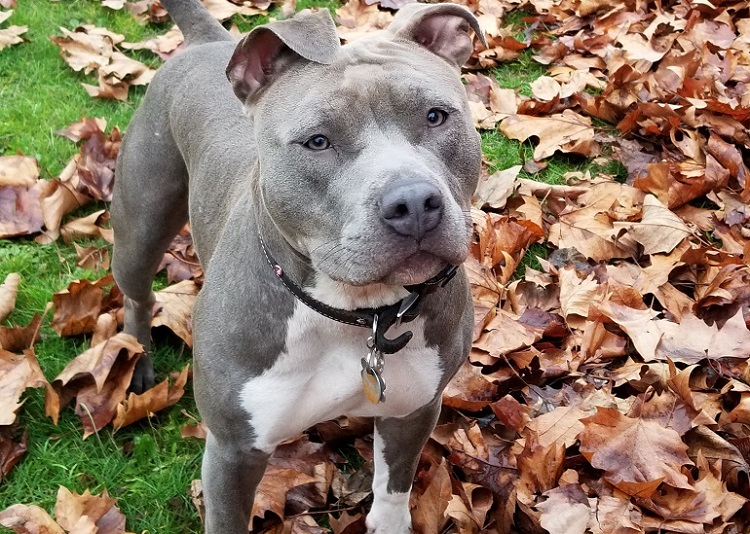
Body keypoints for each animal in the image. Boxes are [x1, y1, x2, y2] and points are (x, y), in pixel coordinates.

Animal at [112, 2, 488, 532]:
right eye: (317, 142)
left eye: (436, 116)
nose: (414, 202)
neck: (356, 311)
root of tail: (210, 42)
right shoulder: (233, 452)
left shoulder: (414, 410)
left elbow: (394, 487)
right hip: (141, 220)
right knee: (138, 291)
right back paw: (137, 357)